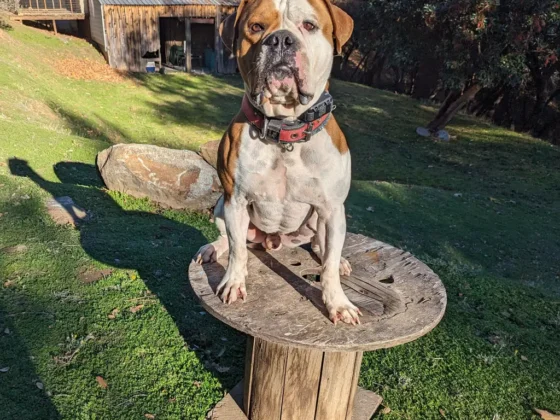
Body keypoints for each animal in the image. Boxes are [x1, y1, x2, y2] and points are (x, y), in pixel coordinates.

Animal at [192, 0, 360, 324]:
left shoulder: (333, 209)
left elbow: (329, 266)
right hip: (221, 207)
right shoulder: (235, 201)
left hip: (320, 219)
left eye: (309, 25)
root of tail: (273, 241)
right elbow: (237, 251)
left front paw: (338, 302)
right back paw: (211, 249)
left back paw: (340, 260)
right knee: (230, 240)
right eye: (256, 27)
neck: (286, 130)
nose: (281, 39)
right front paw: (234, 282)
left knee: (322, 246)